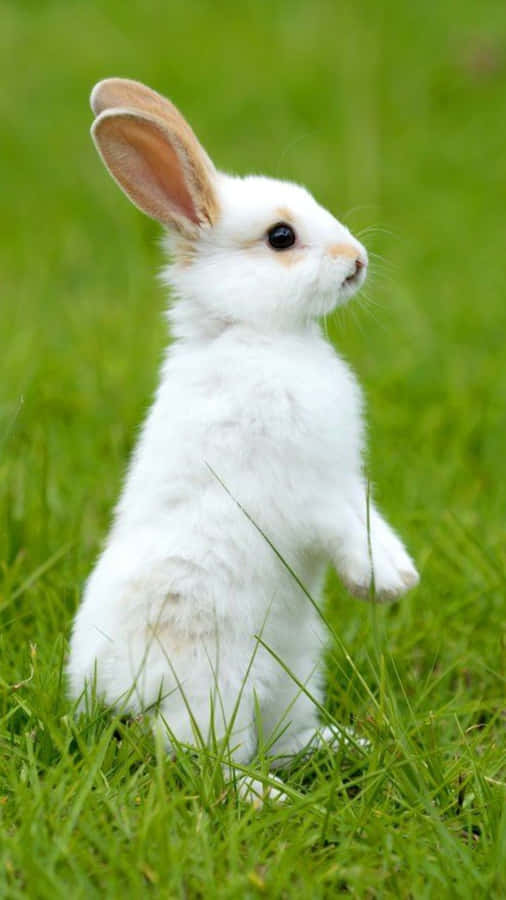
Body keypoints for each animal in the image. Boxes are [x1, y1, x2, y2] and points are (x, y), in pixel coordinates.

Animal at [68, 78, 419, 801]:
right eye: (281, 237)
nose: (357, 261)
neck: (258, 336)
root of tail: (111, 695)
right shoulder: (306, 491)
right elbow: (344, 528)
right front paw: (384, 584)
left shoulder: (345, 479)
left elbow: (369, 515)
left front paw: (399, 575)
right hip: (216, 684)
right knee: (198, 756)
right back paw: (268, 798)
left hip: (294, 673)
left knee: (275, 739)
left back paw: (342, 745)